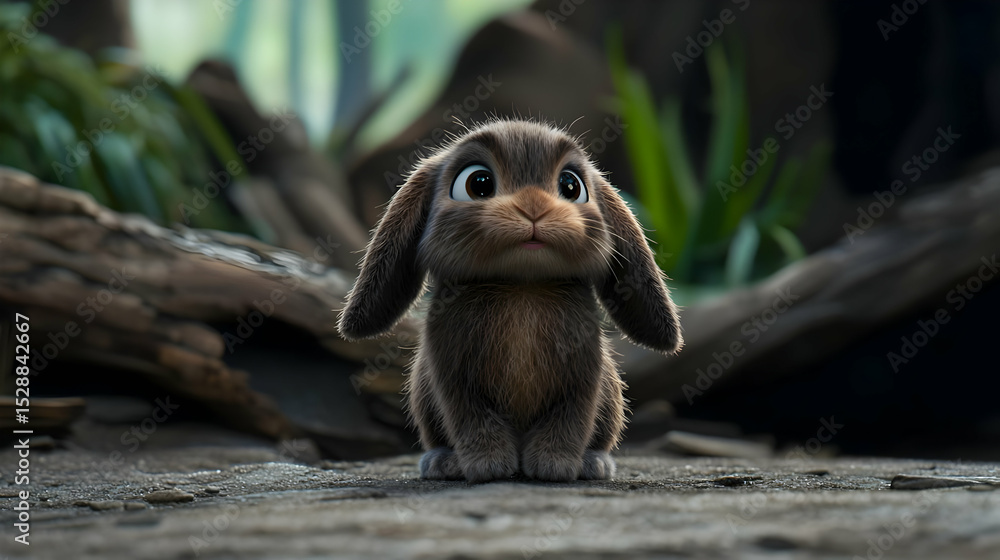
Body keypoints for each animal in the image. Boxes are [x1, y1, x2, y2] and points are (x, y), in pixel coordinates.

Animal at [338, 119, 682, 482]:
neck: (521, 285)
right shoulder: (453, 379)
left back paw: (593, 464)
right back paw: (442, 463)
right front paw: (488, 466)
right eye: (479, 183)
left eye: (571, 185)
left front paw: (554, 466)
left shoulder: (583, 378)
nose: (533, 208)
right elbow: (472, 421)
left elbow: (570, 421)